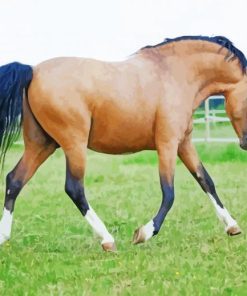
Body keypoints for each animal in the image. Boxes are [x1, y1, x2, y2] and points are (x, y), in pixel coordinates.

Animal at [0, 35, 246, 251]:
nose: (245, 142)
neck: (175, 74)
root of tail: (32, 70)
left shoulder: (184, 144)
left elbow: (206, 181)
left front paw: (232, 226)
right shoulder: (167, 144)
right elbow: (169, 193)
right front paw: (143, 234)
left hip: (42, 144)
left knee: (15, 180)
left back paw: (4, 237)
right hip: (73, 144)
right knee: (74, 188)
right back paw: (107, 240)